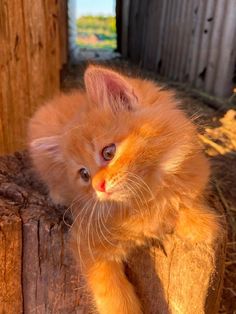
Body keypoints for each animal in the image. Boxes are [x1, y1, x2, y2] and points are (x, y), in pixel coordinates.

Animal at [28, 65, 220, 312]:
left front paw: (201, 223)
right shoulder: (86, 243)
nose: (98, 187)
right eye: (84, 175)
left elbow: (188, 204)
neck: (146, 199)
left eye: (108, 153)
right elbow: (111, 293)